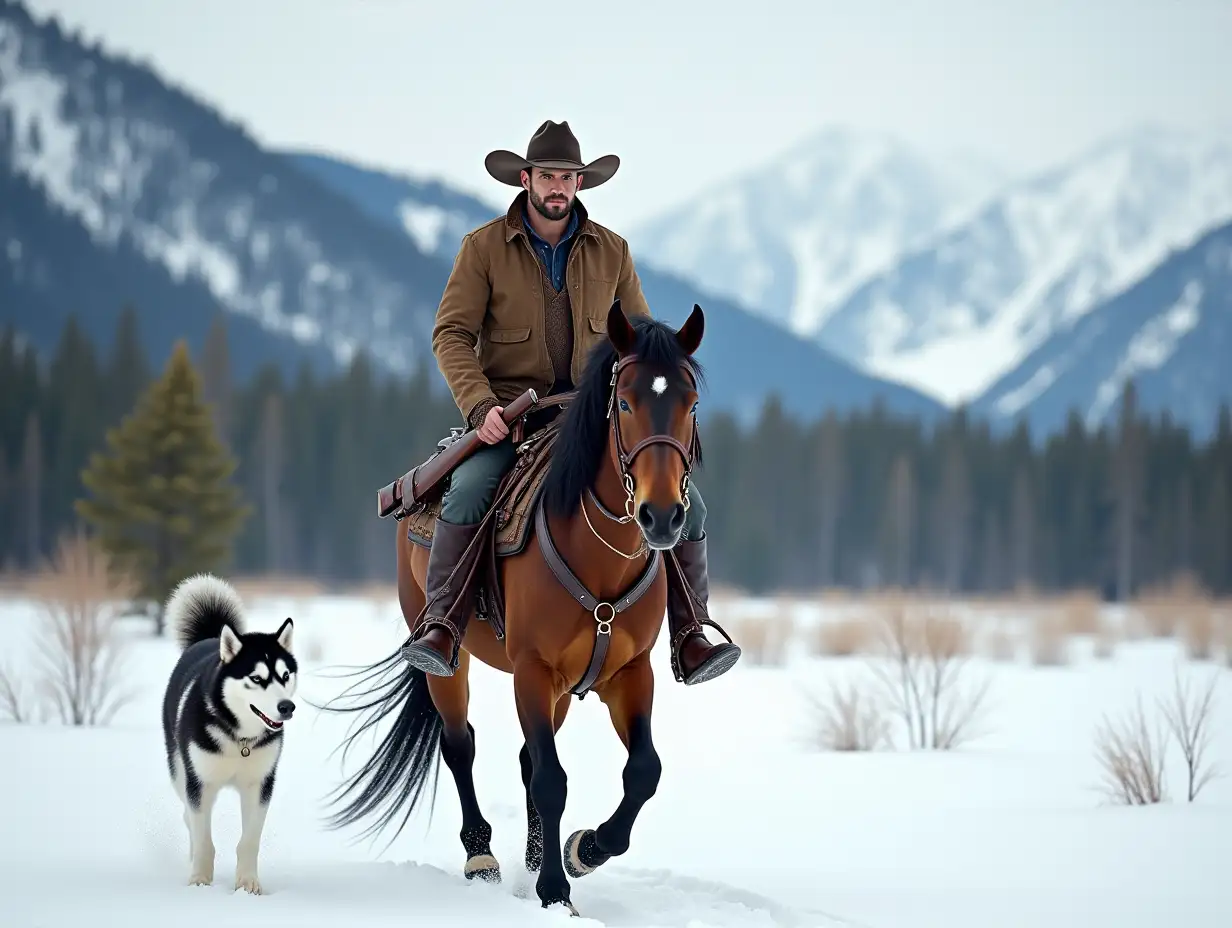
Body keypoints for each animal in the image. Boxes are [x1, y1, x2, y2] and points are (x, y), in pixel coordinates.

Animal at [320, 298, 714, 911]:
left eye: (690, 403)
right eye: (625, 402)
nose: (663, 516)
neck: (601, 553)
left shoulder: (630, 673)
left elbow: (642, 771)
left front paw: (583, 850)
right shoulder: (531, 670)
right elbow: (551, 780)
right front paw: (555, 890)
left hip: (563, 689)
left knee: (530, 758)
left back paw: (531, 858)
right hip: (450, 662)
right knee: (460, 745)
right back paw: (481, 855)